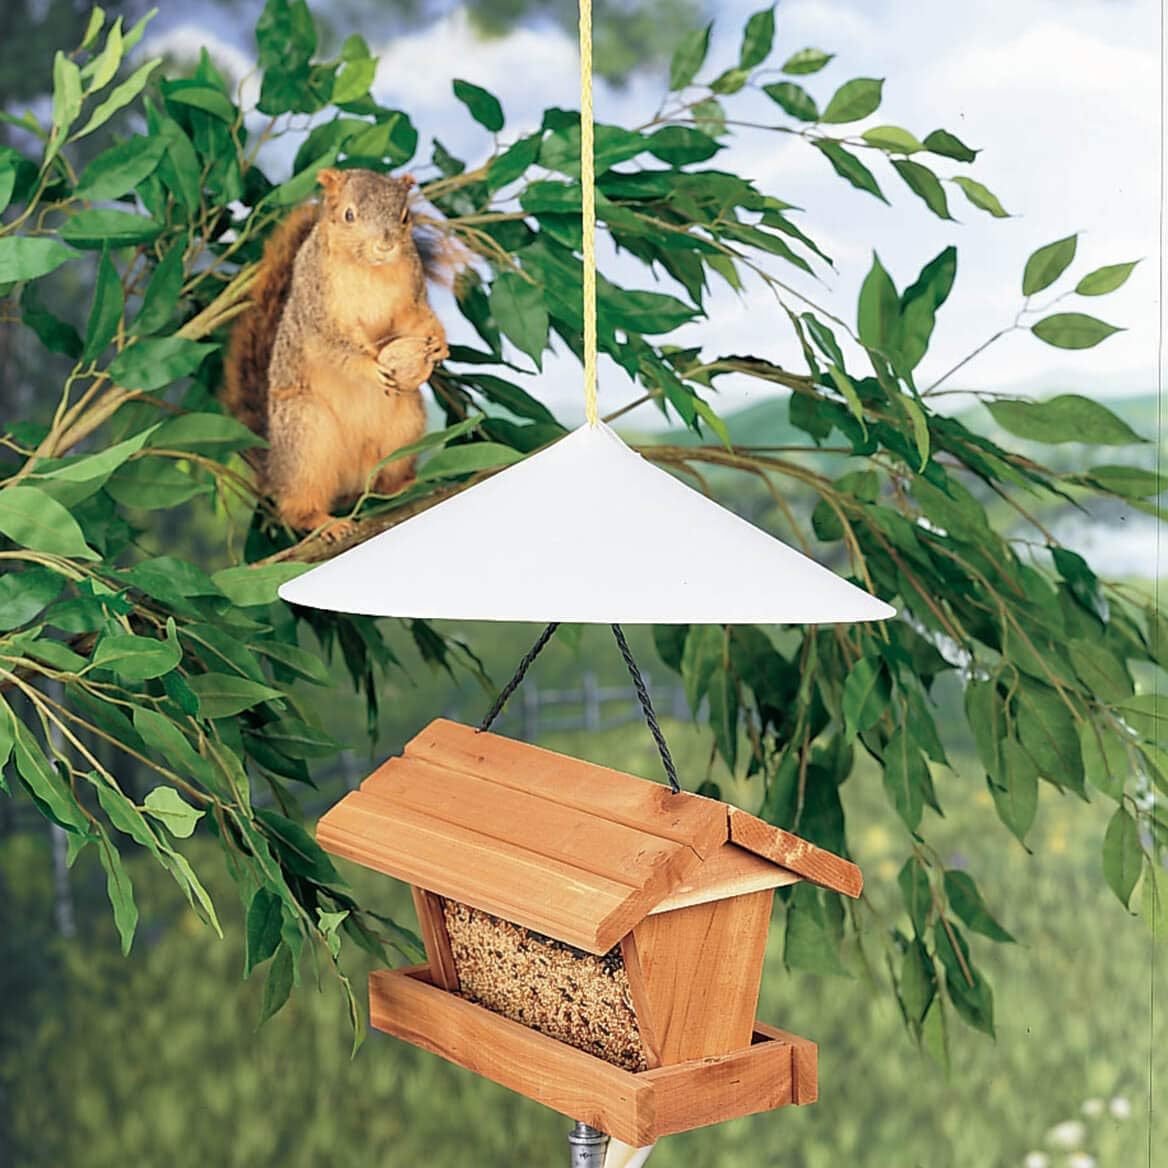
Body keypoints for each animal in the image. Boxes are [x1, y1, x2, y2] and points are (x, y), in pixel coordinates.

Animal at [222, 167, 450, 541]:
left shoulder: (410, 296)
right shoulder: (320, 311)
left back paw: (404, 486)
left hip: (404, 426)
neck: (368, 269)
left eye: (405, 216)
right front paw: (370, 368)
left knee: (382, 482)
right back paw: (325, 523)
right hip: (307, 437)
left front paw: (439, 342)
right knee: (298, 506)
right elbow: (336, 343)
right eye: (349, 215)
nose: (385, 245)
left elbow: (416, 319)